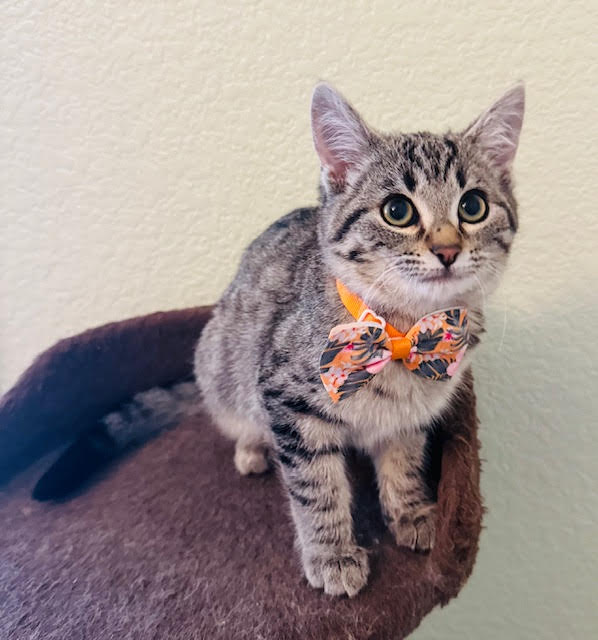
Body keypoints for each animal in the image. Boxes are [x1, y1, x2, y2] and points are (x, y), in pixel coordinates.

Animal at [34, 82, 524, 597]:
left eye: (473, 206)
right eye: (397, 211)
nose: (447, 250)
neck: (403, 330)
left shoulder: (411, 414)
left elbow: (404, 462)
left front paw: (411, 512)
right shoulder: (287, 397)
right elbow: (316, 485)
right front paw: (331, 554)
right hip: (221, 366)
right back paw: (252, 450)